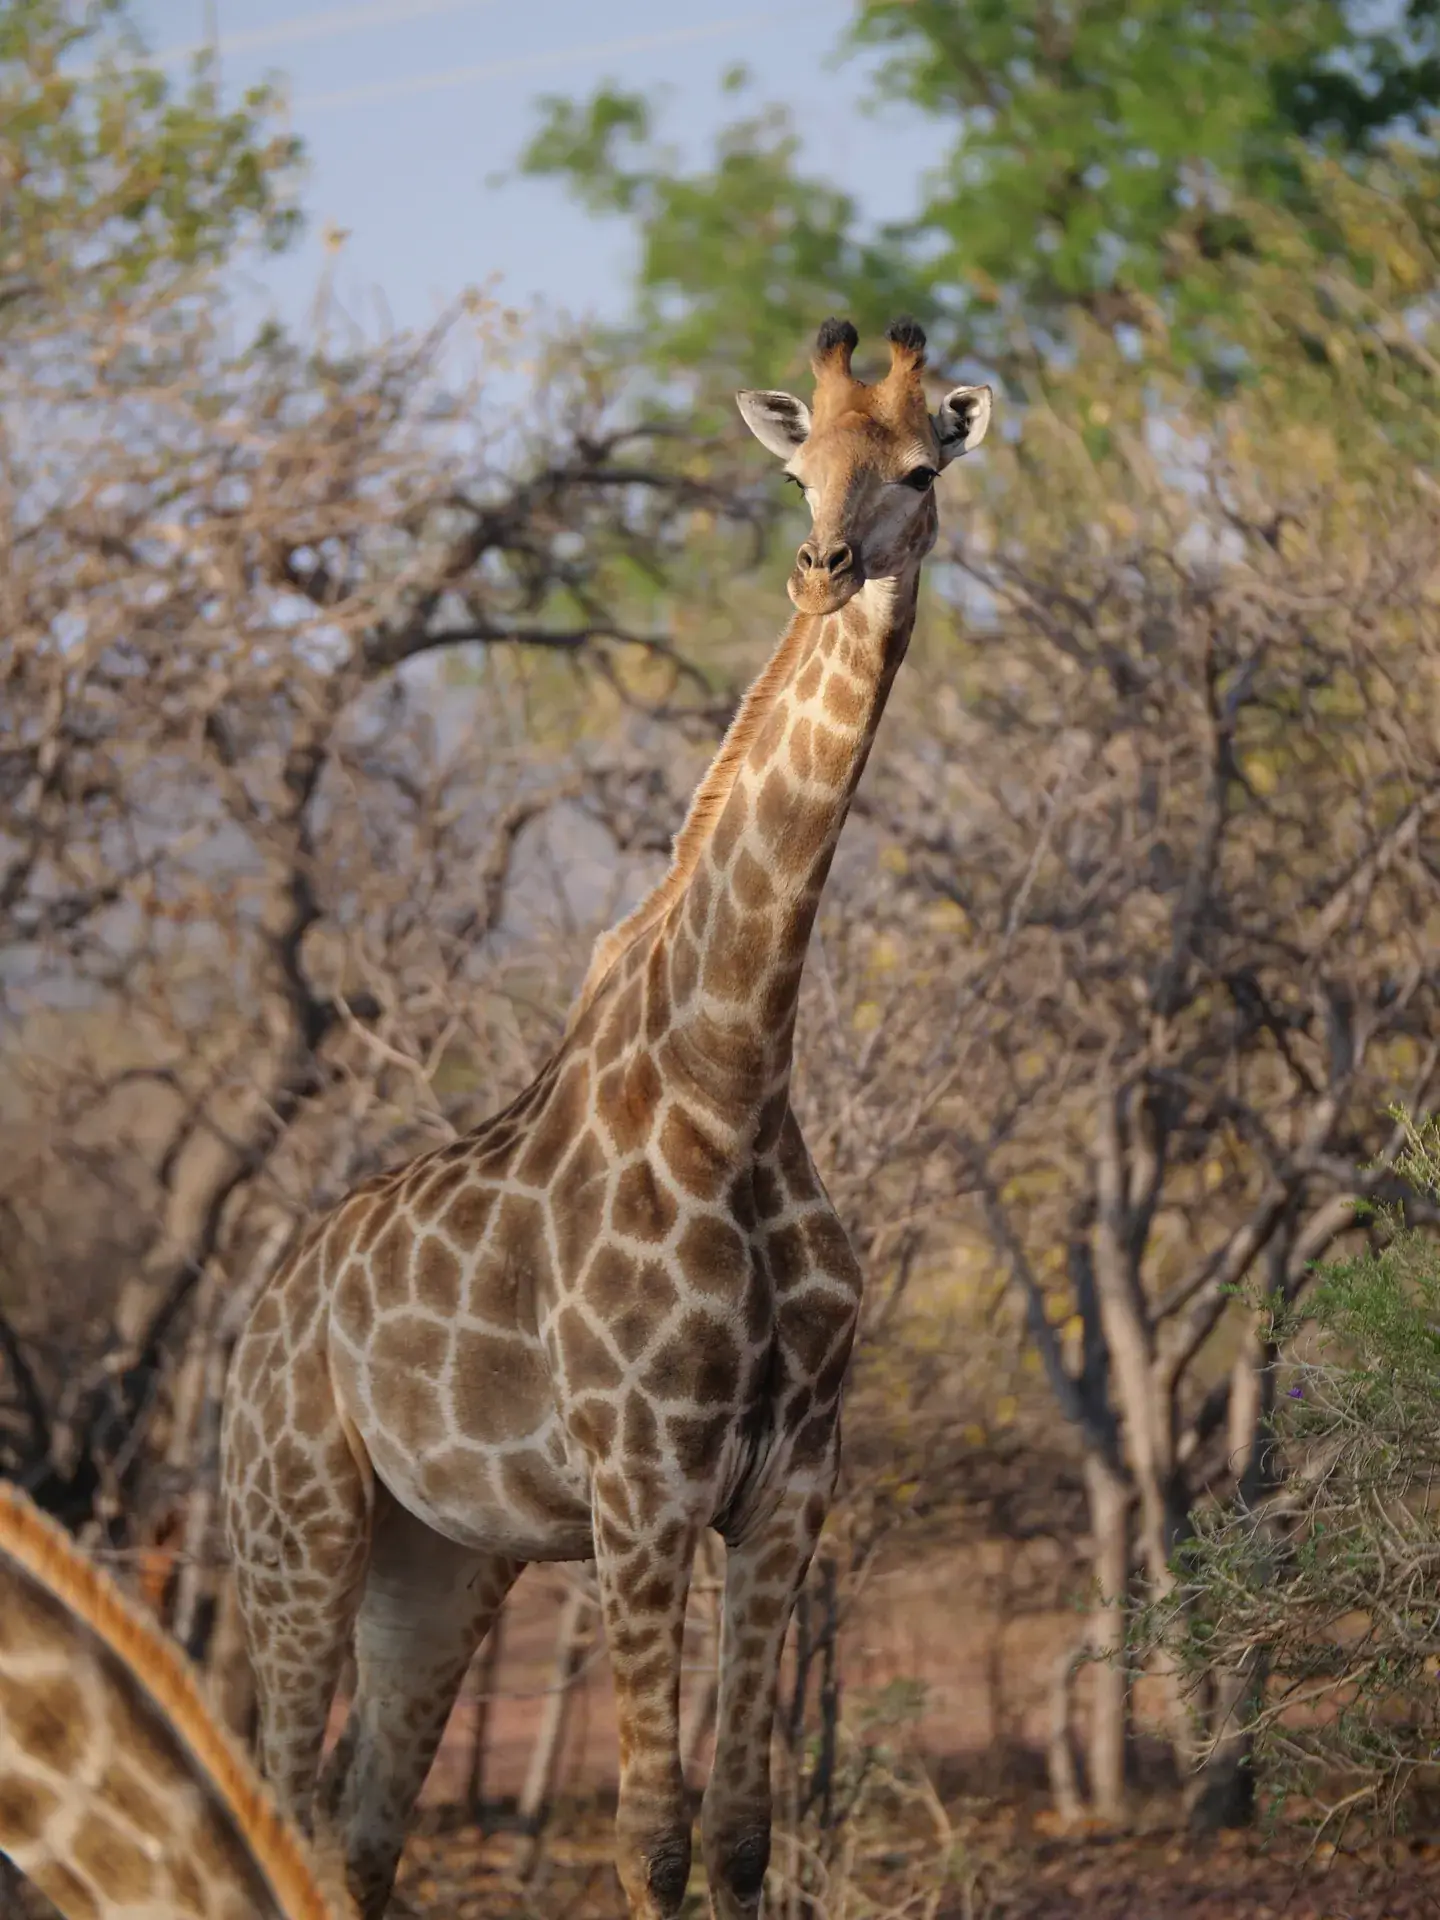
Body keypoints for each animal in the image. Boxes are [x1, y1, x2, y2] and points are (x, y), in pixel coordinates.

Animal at [219, 315, 992, 1920]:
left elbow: (746, 1833)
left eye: (918, 465)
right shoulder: (641, 1489)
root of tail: (252, 1326)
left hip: (438, 1560)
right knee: (276, 1798)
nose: (824, 565)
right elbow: (651, 1838)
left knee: (364, 1831)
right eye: (799, 470)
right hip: (294, 1526)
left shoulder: (789, 1490)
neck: (738, 1069)